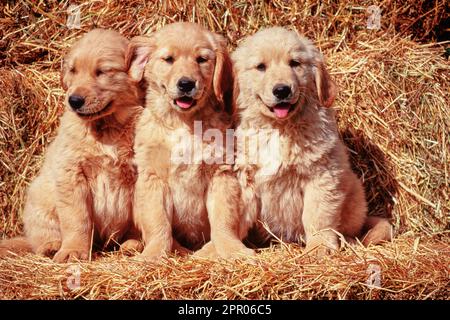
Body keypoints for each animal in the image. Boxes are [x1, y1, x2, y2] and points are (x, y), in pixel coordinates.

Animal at [0, 28, 143, 262]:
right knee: (40, 236)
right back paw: (51, 246)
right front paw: (73, 251)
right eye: (73, 71)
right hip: (40, 198)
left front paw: (136, 242)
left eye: (102, 71)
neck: (106, 128)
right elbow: (77, 220)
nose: (74, 100)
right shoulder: (71, 174)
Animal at [128, 23, 253, 262]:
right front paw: (153, 254)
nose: (186, 84)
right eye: (168, 59)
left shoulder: (221, 175)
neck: (184, 123)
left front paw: (233, 250)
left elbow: (224, 220)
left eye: (201, 60)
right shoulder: (153, 178)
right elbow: (158, 224)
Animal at [230, 28, 392, 258]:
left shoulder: (322, 176)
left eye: (294, 63)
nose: (282, 90)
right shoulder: (244, 176)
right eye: (261, 67)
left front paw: (319, 247)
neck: (279, 128)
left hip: (354, 193)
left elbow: (317, 216)